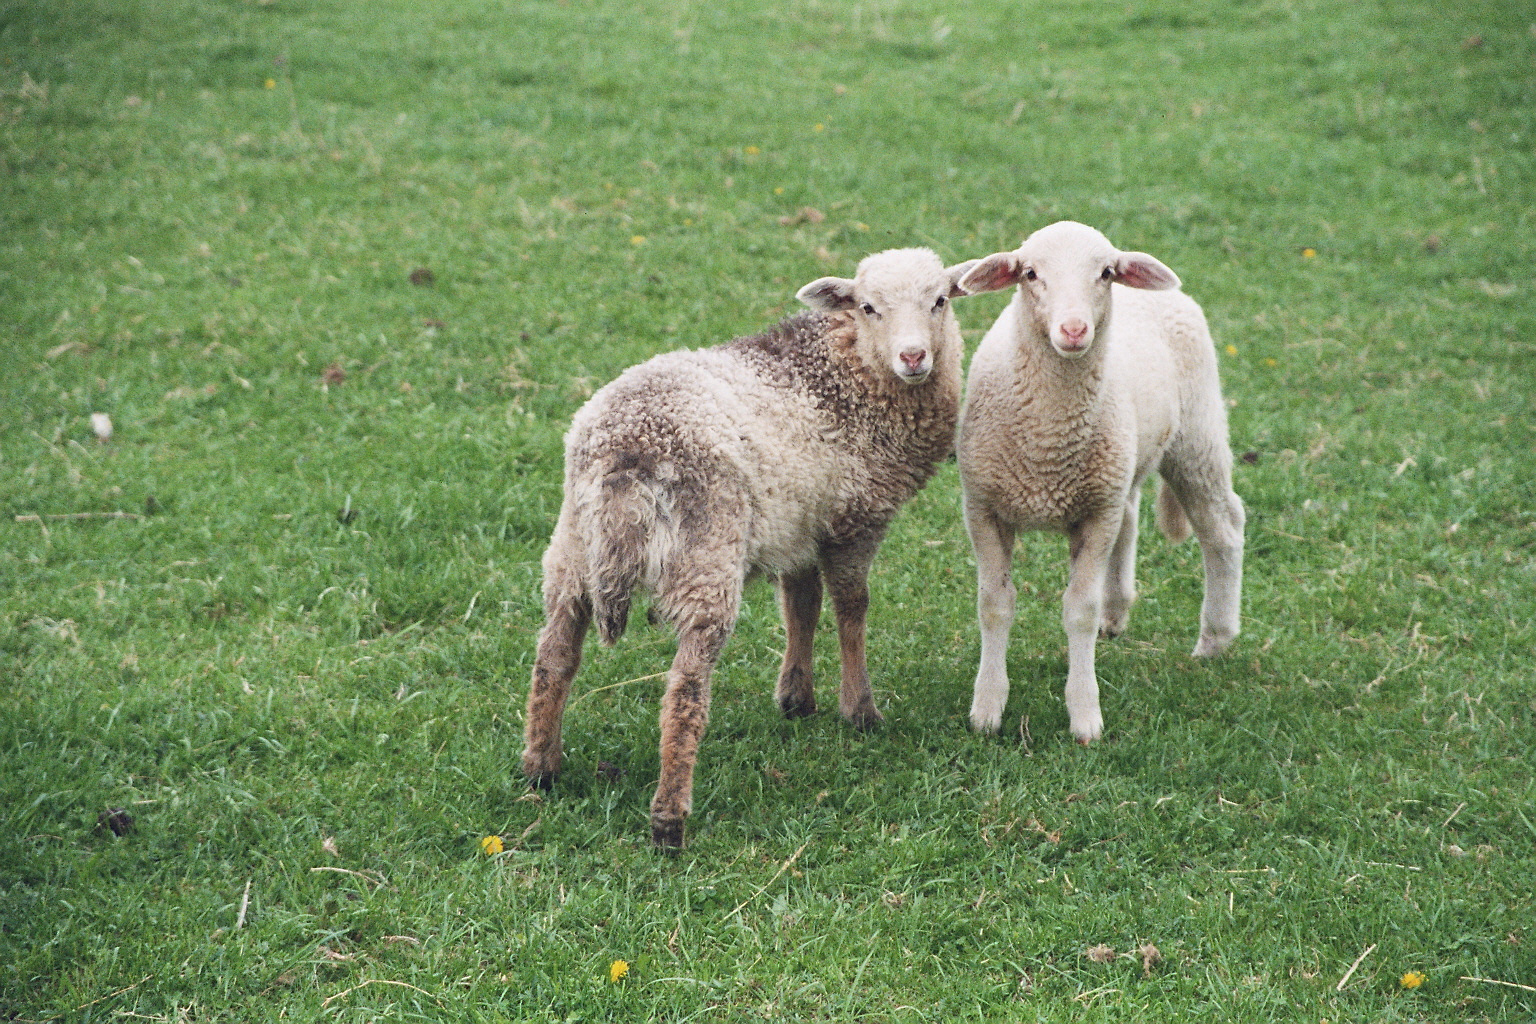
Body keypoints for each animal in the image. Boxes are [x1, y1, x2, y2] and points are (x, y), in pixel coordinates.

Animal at [522, 245, 976, 847]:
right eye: (868, 307)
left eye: (940, 300)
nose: (913, 356)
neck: (847, 370)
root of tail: (626, 453)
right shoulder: (855, 520)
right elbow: (851, 609)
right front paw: (859, 709)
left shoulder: (799, 524)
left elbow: (800, 606)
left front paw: (796, 698)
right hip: (705, 557)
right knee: (684, 691)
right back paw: (669, 818)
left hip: (572, 550)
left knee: (554, 658)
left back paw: (540, 769)